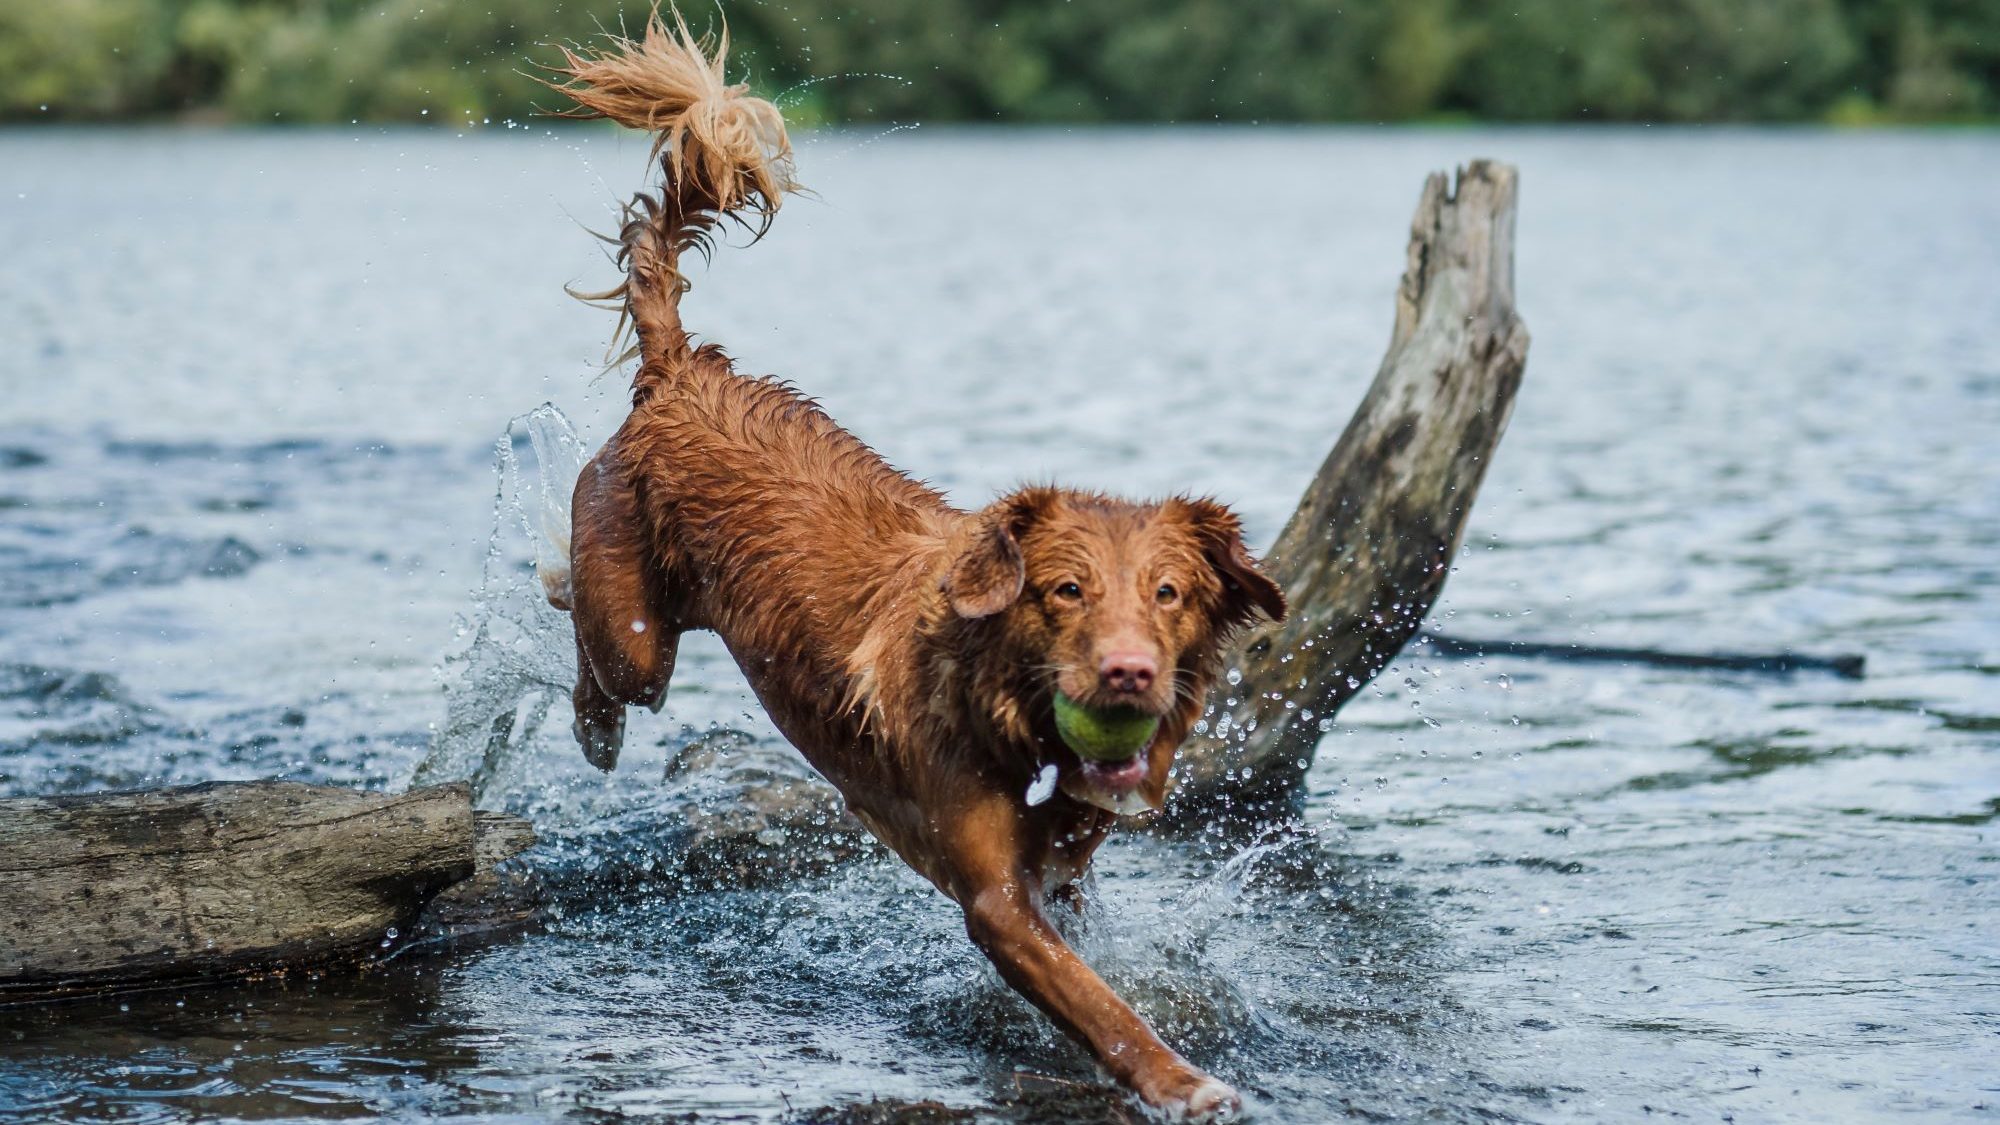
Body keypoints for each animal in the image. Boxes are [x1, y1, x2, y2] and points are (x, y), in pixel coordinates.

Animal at [548, 15, 1280, 1112]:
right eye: (1064, 591)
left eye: (1169, 594)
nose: (1127, 673)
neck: (1009, 709)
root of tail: (685, 374)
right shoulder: (994, 901)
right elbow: (1104, 1009)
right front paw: (1182, 1082)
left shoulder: (1061, 870)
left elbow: (1098, 961)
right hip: (635, 626)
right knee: (601, 650)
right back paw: (589, 714)